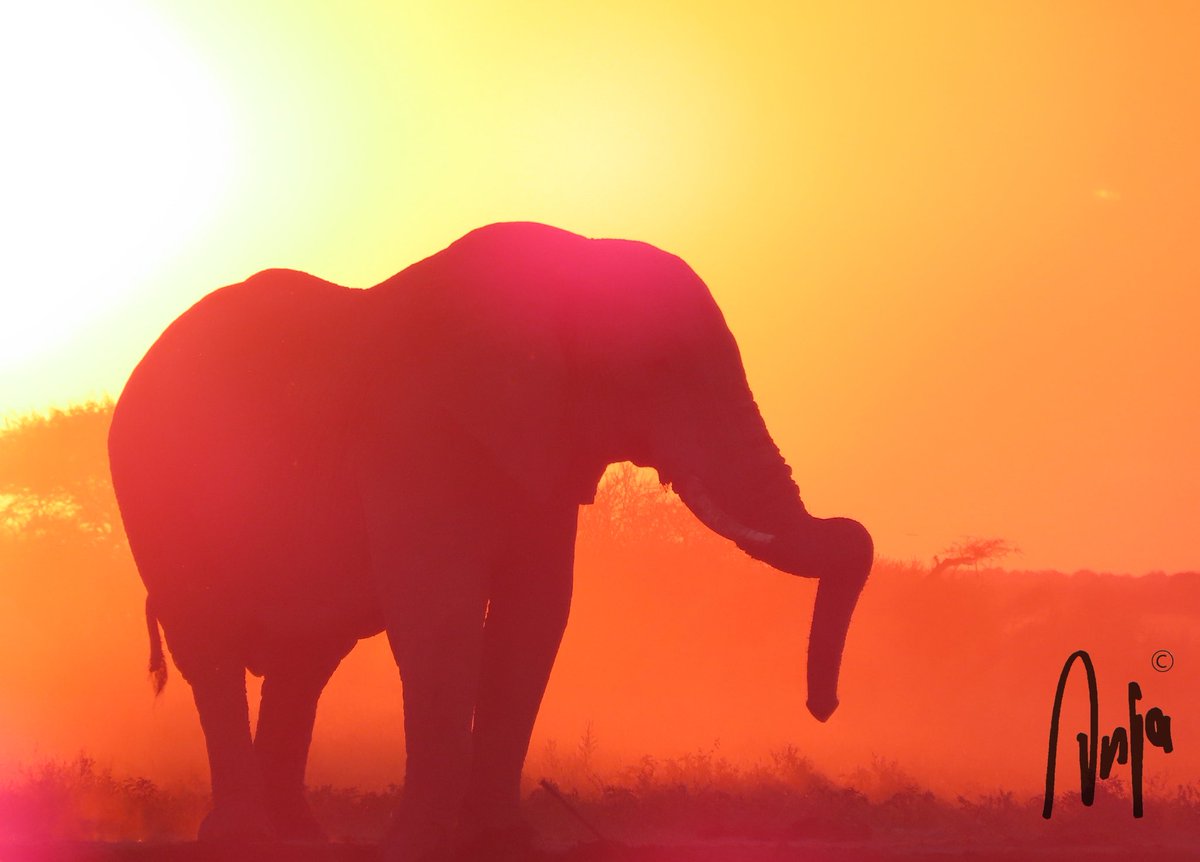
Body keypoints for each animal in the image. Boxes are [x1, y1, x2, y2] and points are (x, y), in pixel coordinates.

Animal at [108, 220, 868, 859]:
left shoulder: (543, 454)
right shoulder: (414, 441)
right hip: (157, 499)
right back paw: (242, 837)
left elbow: (535, 617)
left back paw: (301, 838)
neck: (569, 264)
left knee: (305, 665)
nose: (822, 707)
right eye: (658, 368)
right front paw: (417, 845)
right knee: (211, 650)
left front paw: (502, 840)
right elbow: (441, 617)